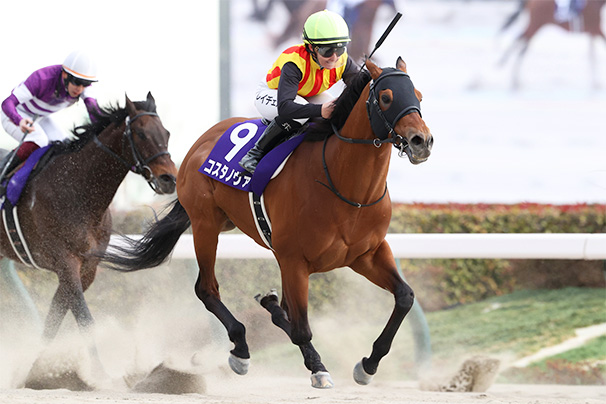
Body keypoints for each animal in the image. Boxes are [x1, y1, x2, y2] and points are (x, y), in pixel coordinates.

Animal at [0, 92, 177, 377]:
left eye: (166, 132)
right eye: (140, 133)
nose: (169, 179)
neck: (77, 189)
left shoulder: (87, 267)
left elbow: (55, 318)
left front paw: (35, 370)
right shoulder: (65, 261)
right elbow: (84, 318)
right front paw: (98, 376)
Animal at [102, 57, 433, 388]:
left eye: (418, 94)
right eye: (386, 97)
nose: (422, 141)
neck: (346, 187)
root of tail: (204, 139)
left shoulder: (366, 254)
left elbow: (405, 297)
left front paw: (368, 364)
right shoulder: (294, 260)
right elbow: (301, 327)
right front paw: (318, 368)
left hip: (229, 224)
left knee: (273, 306)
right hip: (205, 225)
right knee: (207, 289)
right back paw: (241, 349)